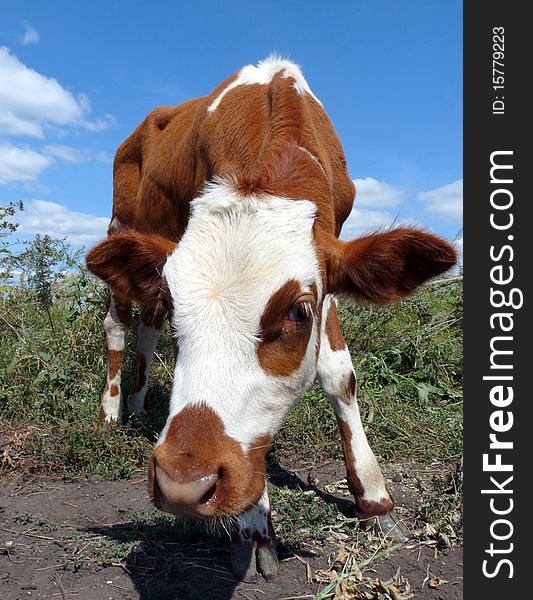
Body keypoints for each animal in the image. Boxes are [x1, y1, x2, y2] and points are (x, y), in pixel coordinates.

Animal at [85, 56, 456, 580]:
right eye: (181, 304)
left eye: (299, 311)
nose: (183, 482)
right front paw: (255, 522)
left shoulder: (328, 266)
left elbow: (339, 374)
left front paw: (375, 499)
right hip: (121, 225)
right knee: (119, 327)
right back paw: (112, 412)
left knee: (147, 329)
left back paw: (137, 405)